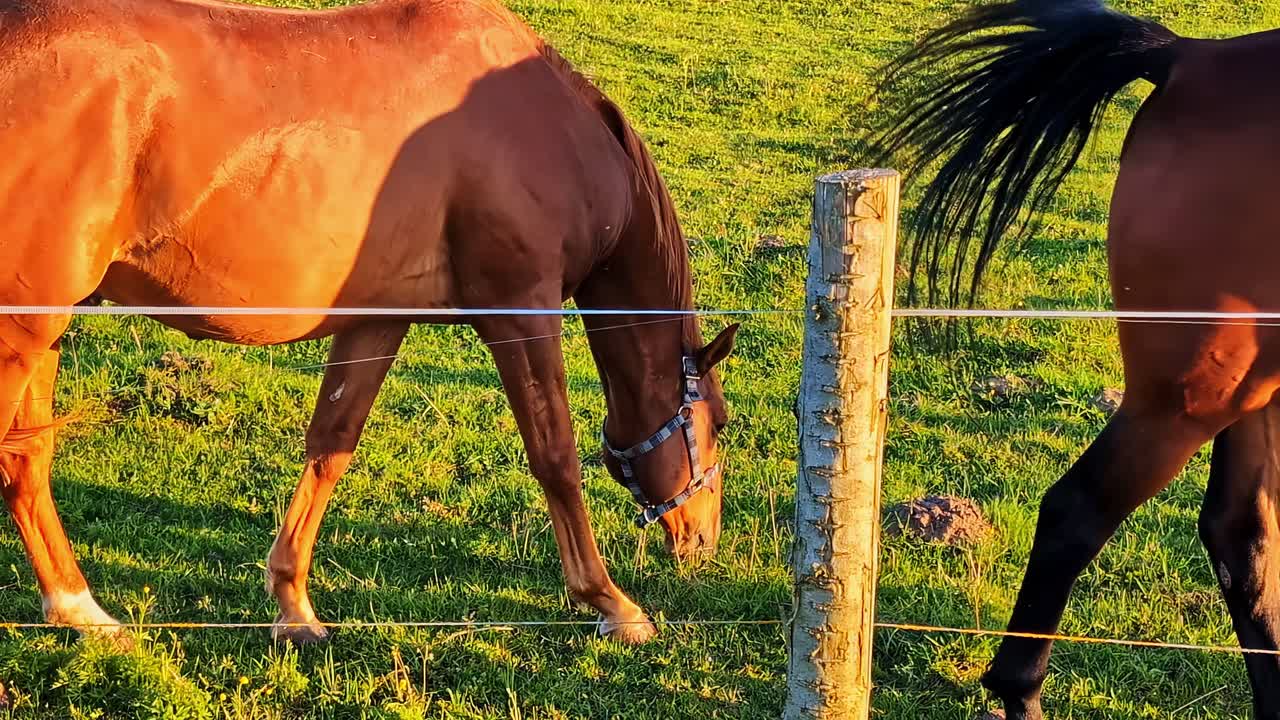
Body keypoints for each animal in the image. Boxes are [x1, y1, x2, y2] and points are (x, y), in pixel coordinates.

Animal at [0, 0, 739, 648]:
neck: (552, 130)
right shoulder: (519, 309)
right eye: (721, 423)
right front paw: (612, 603)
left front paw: (293, 606)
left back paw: (80, 610)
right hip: (26, 329)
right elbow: (555, 456)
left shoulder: (378, 320)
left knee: (27, 458)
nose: (703, 541)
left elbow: (331, 446)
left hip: (47, 327)